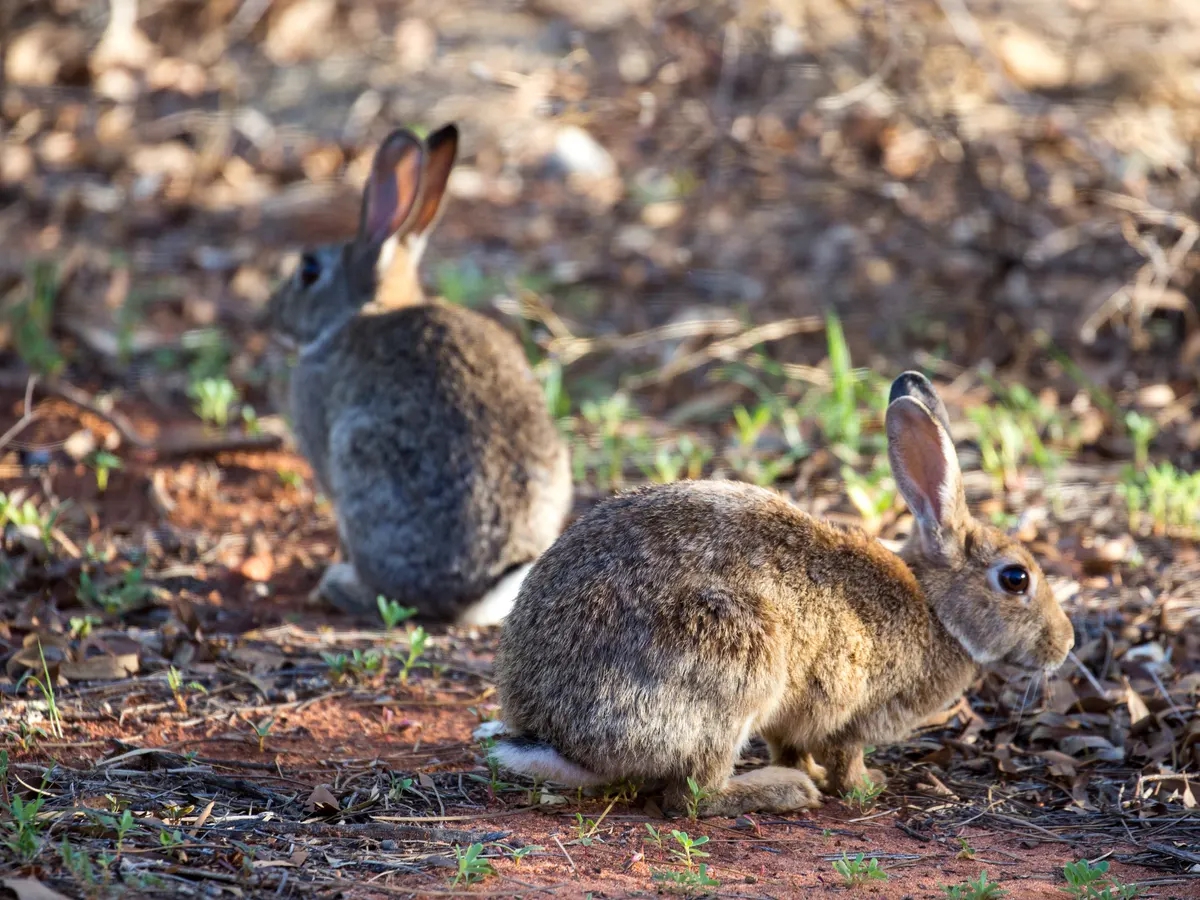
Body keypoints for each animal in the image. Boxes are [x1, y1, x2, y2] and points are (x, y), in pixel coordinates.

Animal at [492, 372, 1075, 816]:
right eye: (1016, 578)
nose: (1065, 643)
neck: (936, 610)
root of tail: (558, 737)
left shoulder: (795, 716)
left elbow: (792, 745)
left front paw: (812, 770)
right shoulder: (854, 710)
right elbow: (845, 756)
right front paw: (864, 786)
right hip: (733, 664)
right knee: (693, 796)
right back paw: (784, 792)